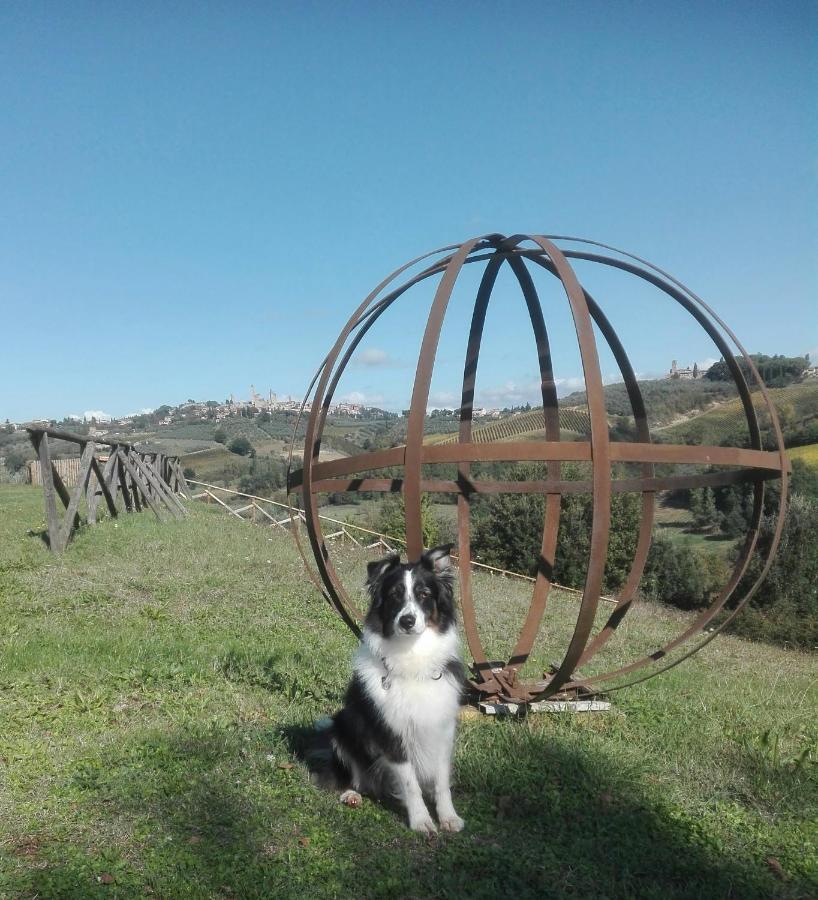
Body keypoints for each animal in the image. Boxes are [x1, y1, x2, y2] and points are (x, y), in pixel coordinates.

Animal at [326, 544, 466, 832]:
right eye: (394, 596)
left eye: (424, 594)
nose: (407, 621)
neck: (413, 656)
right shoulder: (390, 731)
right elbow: (410, 782)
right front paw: (422, 820)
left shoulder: (442, 729)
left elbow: (441, 780)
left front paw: (448, 817)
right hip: (341, 727)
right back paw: (352, 794)